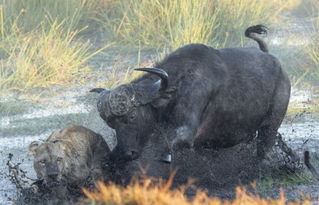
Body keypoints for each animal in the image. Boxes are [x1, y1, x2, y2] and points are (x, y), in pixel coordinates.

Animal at [91, 24, 292, 162]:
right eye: (111, 124)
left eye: (132, 116)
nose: (127, 153)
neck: (177, 86)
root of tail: (274, 61)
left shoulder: (187, 131)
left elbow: (169, 146)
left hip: (271, 125)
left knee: (264, 147)